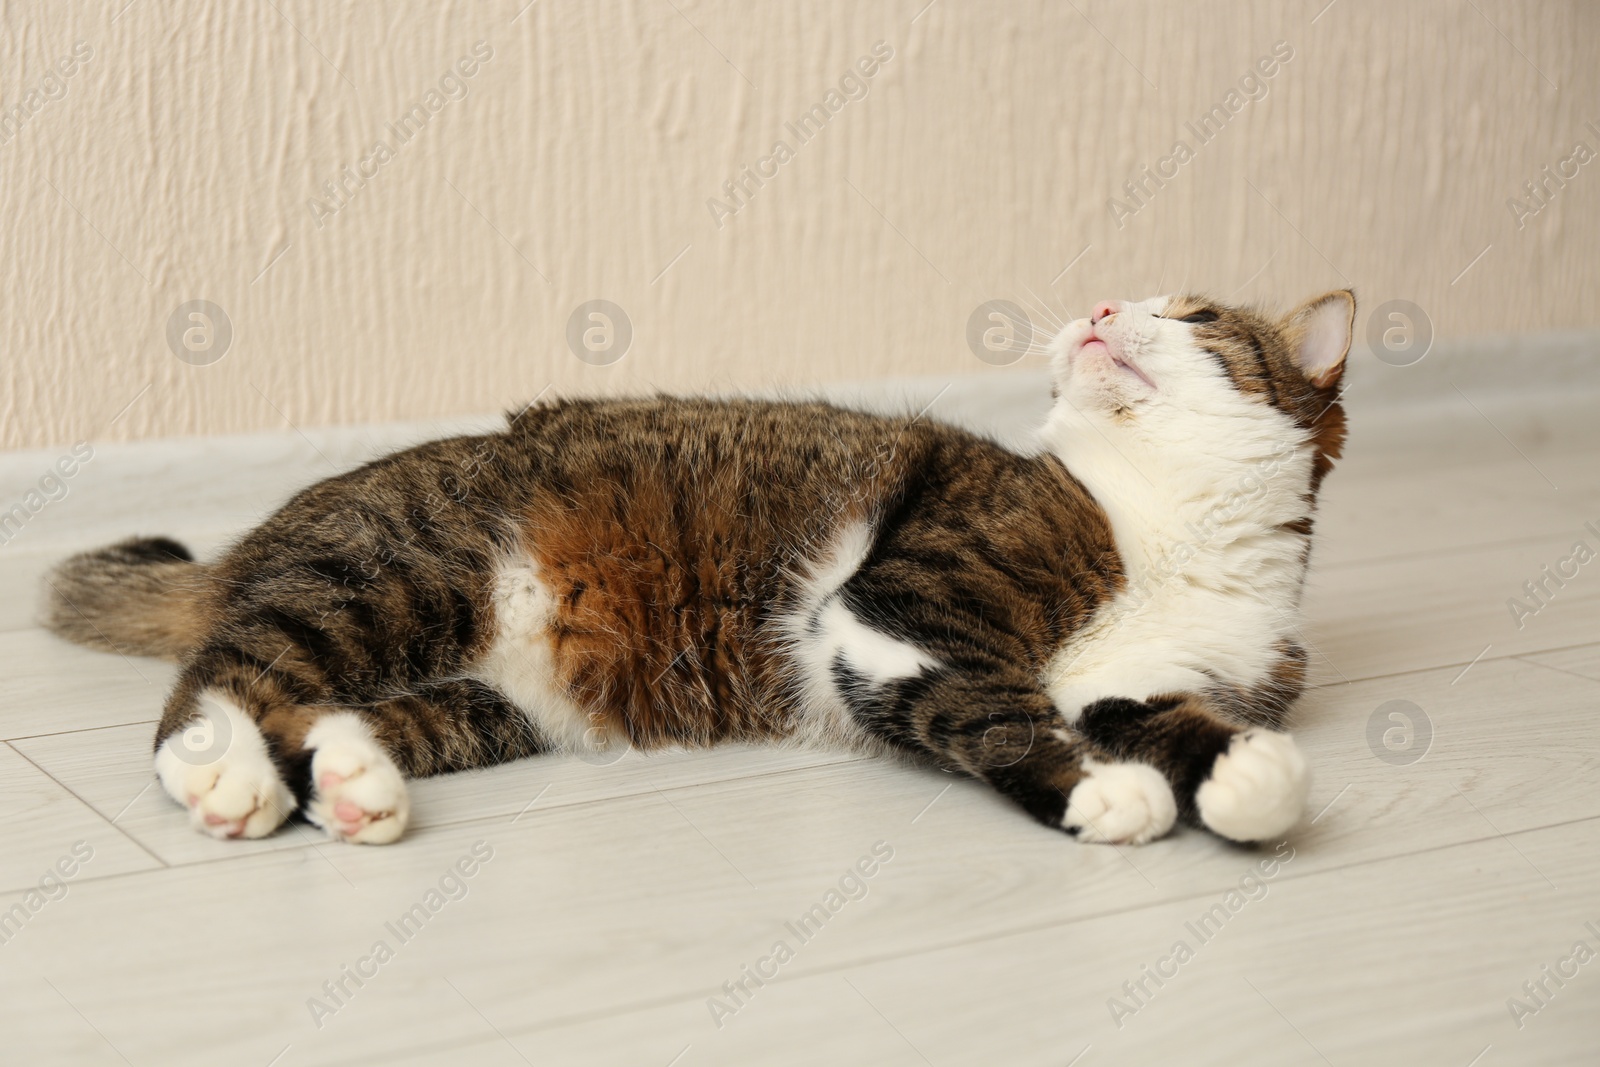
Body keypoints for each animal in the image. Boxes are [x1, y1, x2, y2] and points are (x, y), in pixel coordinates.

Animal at [40, 287, 1350, 844]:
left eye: (1191, 317)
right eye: (1122, 299)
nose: (1093, 311)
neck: (1166, 527)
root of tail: (252, 541)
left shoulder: (1151, 672)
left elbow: (1171, 718)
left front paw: (1244, 780)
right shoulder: (895, 608)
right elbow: (989, 709)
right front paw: (1103, 792)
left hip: (491, 703)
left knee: (334, 713)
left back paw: (352, 781)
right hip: (397, 576)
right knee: (215, 681)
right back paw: (226, 774)